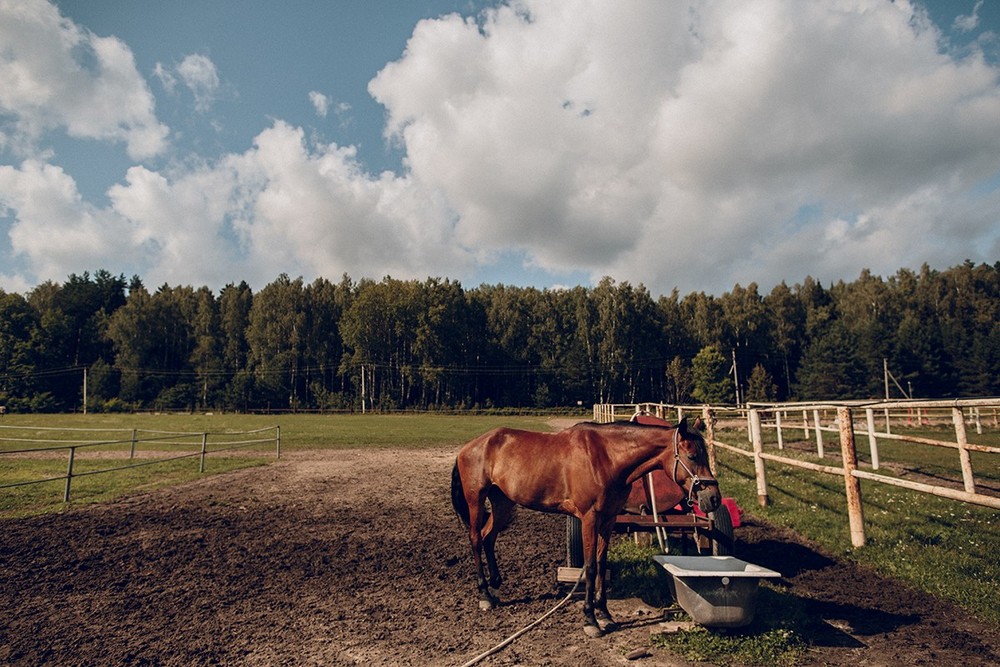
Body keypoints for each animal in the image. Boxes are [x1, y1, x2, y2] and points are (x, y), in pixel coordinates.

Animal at [452, 418, 720, 636]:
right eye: (692, 456)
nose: (713, 498)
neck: (607, 458)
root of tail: (470, 446)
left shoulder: (608, 519)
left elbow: (601, 564)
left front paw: (605, 613)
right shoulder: (589, 518)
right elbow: (589, 567)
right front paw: (590, 618)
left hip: (503, 502)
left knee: (488, 537)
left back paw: (495, 585)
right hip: (476, 500)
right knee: (476, 538)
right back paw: (484, 594)